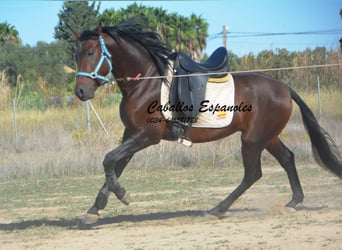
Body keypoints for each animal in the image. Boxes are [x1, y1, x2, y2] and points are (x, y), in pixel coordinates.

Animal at [75, 18, 342, 224]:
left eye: (90, 53)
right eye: (77, 55)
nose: (80, 91)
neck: (147, 82)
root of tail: (284, 88)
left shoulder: (145, 137)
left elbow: (109, 160)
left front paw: (121, 196)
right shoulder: (131, 134)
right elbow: (115, 165)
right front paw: (95, 209)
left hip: (253, 140)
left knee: (252, 174)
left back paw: (217, 209)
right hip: (268, 137)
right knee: (287, 159)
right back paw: (294, 202)